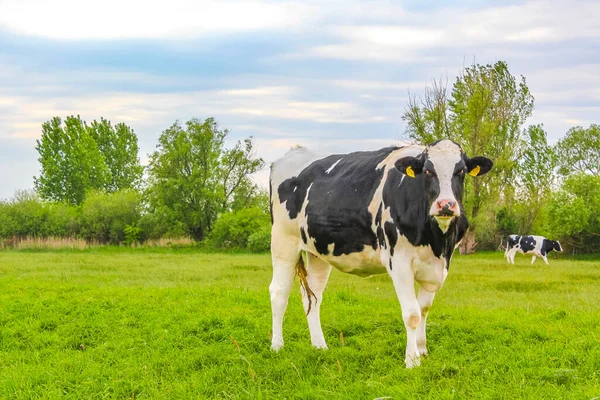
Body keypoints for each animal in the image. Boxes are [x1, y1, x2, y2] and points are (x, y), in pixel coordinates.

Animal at [268, 139, 492, 368]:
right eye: (428, 171)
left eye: (461, 170)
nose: (445, 205)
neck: (437, 242)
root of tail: (290, 154)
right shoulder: (399, 261)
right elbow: (412, 313)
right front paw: (412, 361)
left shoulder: (436, 266)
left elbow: (424, 309)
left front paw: (421, 351)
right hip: (283, 241)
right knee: (279, 292)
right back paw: (277, 346)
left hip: (317, 250)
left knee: (312, 296)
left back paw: (319, 346)